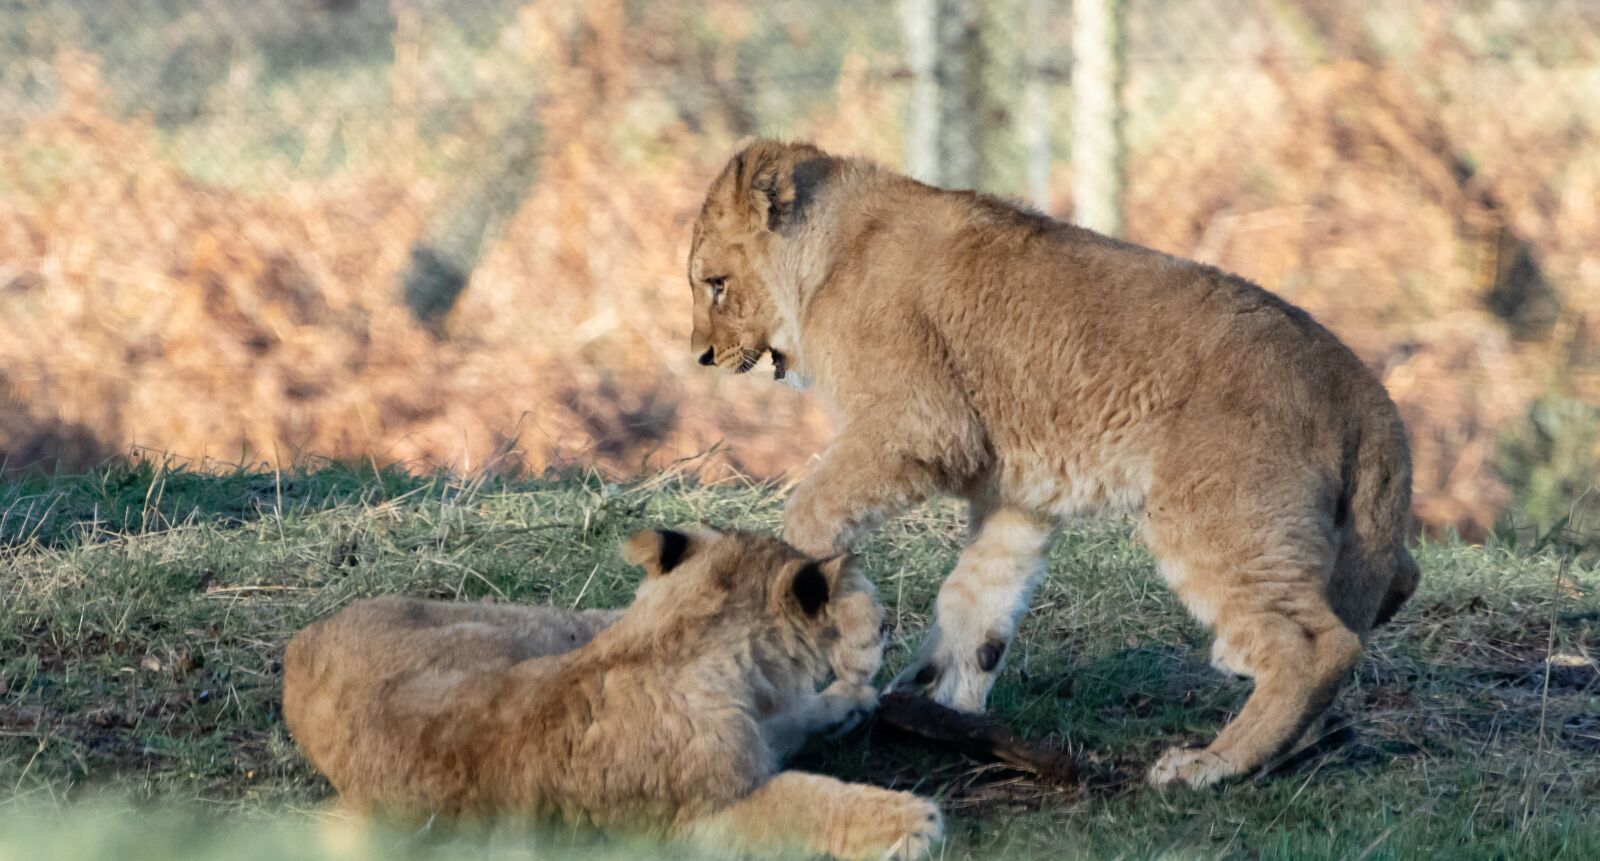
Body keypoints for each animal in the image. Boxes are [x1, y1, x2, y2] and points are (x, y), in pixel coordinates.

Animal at [282, 526, 941, 859]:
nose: (888, 628)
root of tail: (300, 642)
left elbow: (788, 723)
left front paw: (847, 701)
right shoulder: (697, 818)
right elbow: (808, 803)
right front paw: (910, 819)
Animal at [687, 139, 1421, 788]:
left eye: (716, 286)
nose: (702, 357)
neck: (830, 256)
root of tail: (1363, 387)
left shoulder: (920, 424)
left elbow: (812, 508)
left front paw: (795, 589)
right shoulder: (1020, 496)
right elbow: (975, 605)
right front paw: (942, 710)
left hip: (1214, 516)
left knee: (1318, 644)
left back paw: (1209, 764)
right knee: (1395, 582)